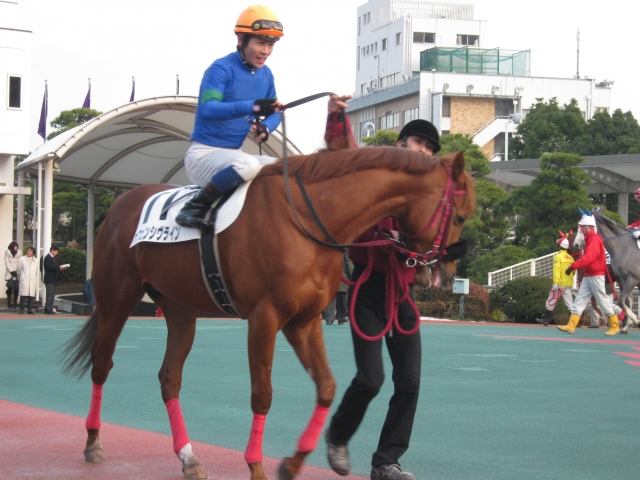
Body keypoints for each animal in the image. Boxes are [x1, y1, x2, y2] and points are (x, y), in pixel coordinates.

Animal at [61, 146, 475, 480]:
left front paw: (293, 463)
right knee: (101, 365)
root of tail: (121, 203)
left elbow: (327, 387)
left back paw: (189, 458)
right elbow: (262, 394)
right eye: (459, 217)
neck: (306, 217)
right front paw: (257, 466)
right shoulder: (265, 318)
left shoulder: (304, 321)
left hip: (179, 309)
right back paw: (92, 442)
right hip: (117, 300)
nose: (444, 272)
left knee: (169, 378)